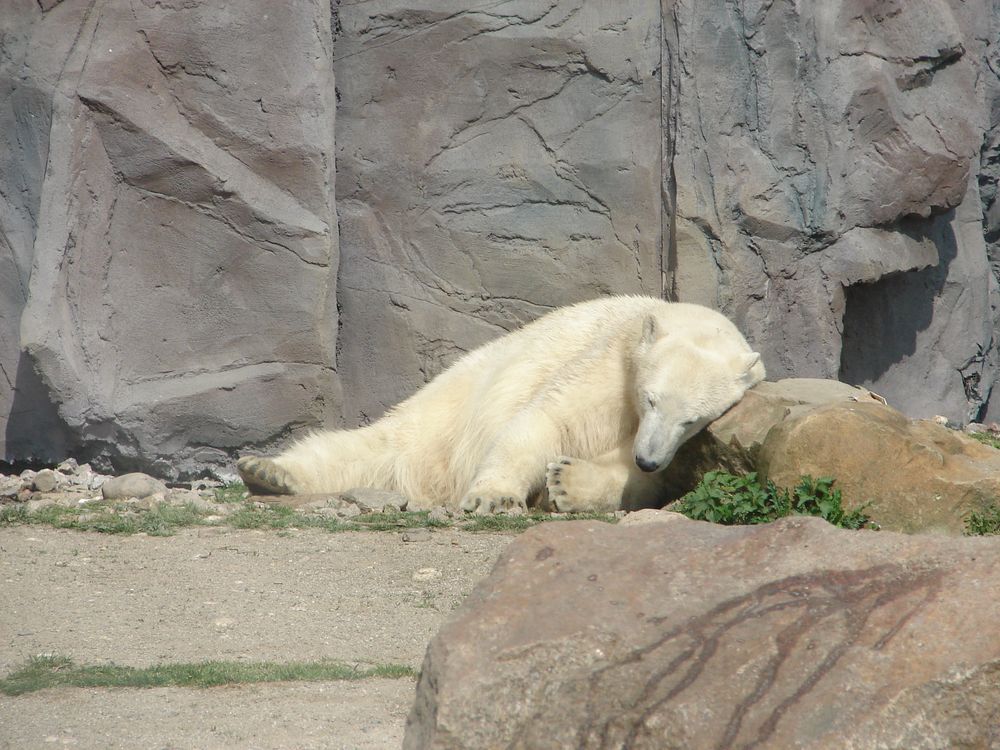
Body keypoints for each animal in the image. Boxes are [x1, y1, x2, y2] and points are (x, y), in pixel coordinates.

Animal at [236, 300, 764, 516]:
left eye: (692, 419)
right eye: (651, 397)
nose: (648, 456)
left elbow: (643, 478)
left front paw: (567, 483)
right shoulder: (612, 361)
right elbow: (549, 416)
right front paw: (496, 496)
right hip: (450, 402)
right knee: (378, 445)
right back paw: (269, 472)